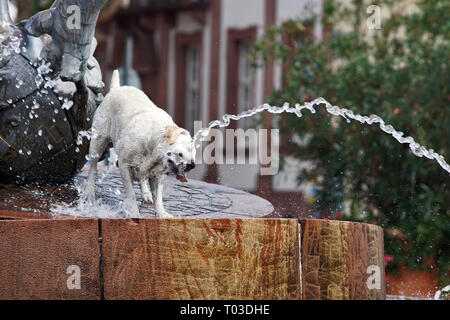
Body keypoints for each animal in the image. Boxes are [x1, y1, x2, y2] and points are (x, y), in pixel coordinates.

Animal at [83, 70, 196, 218]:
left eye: (194, 154)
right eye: (180, 154)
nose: (192, 165)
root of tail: (116, 89)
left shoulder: (157, 174)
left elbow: (158, 197)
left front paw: (161, 213)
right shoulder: (124, 164)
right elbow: (131, 193)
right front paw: (133, 211)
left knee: (142, 176)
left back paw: (146, 193)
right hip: (98, 143)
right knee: (93, 168)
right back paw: (89, 192)